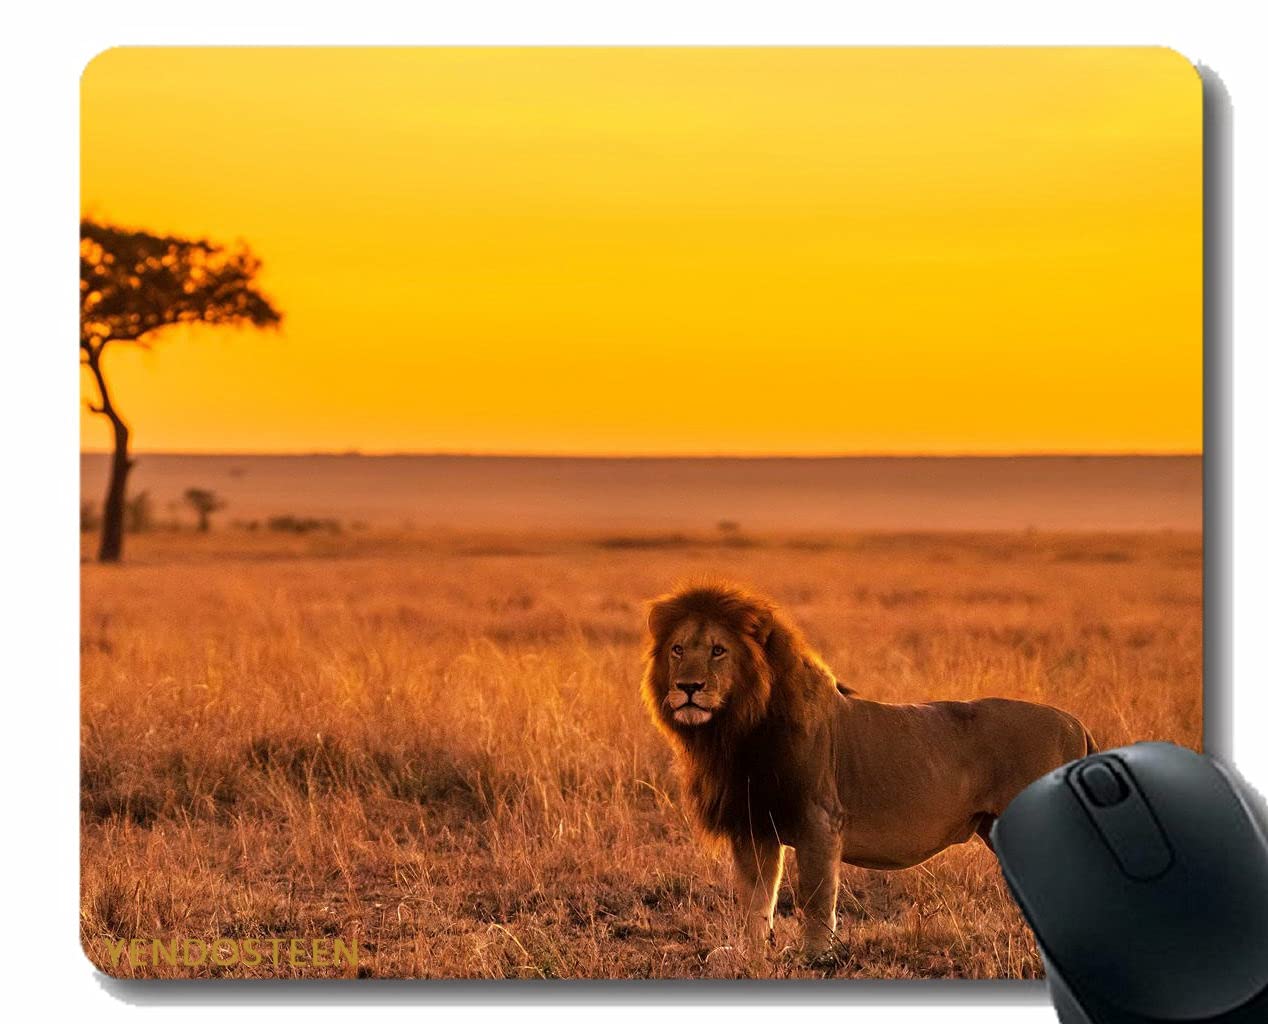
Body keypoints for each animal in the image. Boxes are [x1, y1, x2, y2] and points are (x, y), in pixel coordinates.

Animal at [640, 583, 1096, 960]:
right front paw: (748, 954)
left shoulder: (819, 821)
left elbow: (815, 897)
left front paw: (813, 957)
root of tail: (1074, 721)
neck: (734, 731)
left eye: (718, 650)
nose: (688, 688)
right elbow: (756, 897)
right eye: (677, 649)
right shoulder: (753, 826)